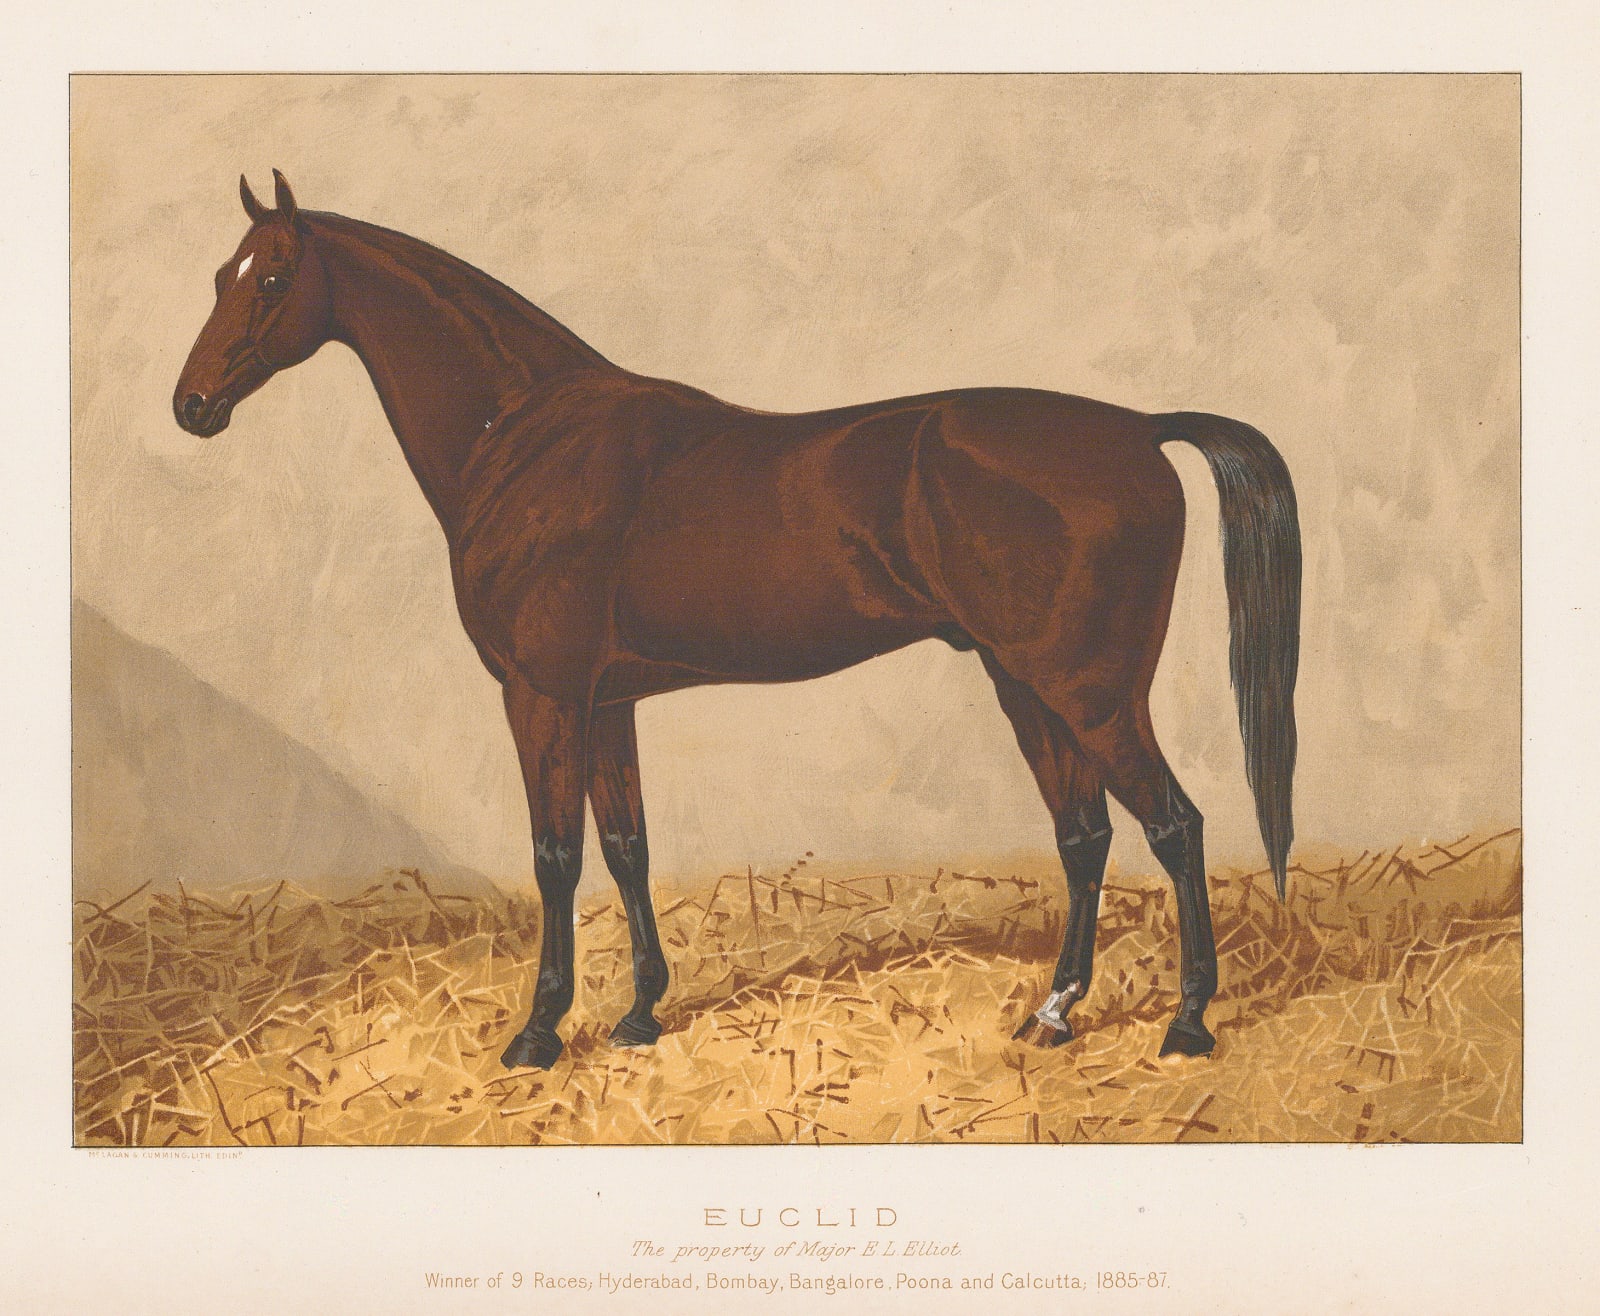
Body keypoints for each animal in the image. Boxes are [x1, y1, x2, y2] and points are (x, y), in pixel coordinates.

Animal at [174, 171, 1301, 1071]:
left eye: (270, 279)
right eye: (220, 273)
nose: (191, 406)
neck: (530, 436)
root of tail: (1138, 429)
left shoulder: (541, 695)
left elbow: (555, 856)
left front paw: (539, 1032)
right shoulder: (608, 702)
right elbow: (626, 845)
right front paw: (639, 1015)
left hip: (1090, 690)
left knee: (1175, 825)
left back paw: (1188, 1023)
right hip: (1026, 683)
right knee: (1084, 834)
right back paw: (1055, 1013)